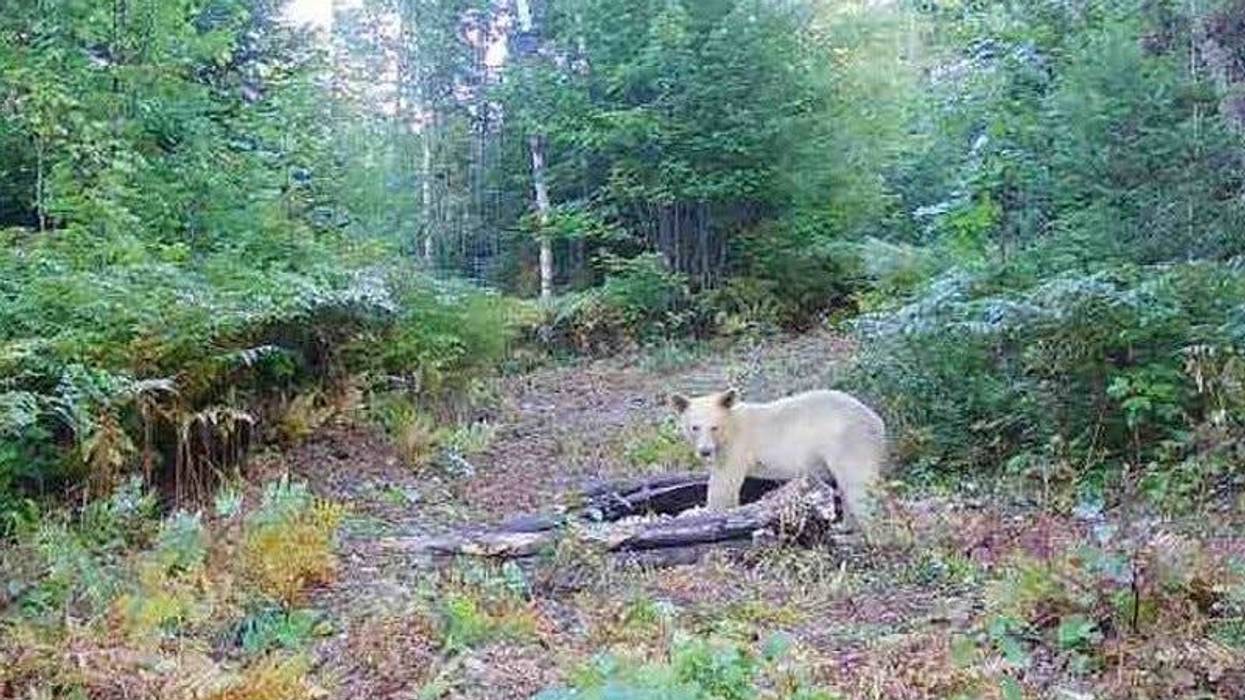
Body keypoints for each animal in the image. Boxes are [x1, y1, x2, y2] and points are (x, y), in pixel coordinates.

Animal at [670, 387, 888, 530]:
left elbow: (723, 484)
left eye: (714, 427)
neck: (730, 426)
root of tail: (877, 422)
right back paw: (845, 526)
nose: (705, 451)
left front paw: (705, 512)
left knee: (857, 485)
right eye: (695, 427)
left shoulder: (737, 447)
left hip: (849, 440)